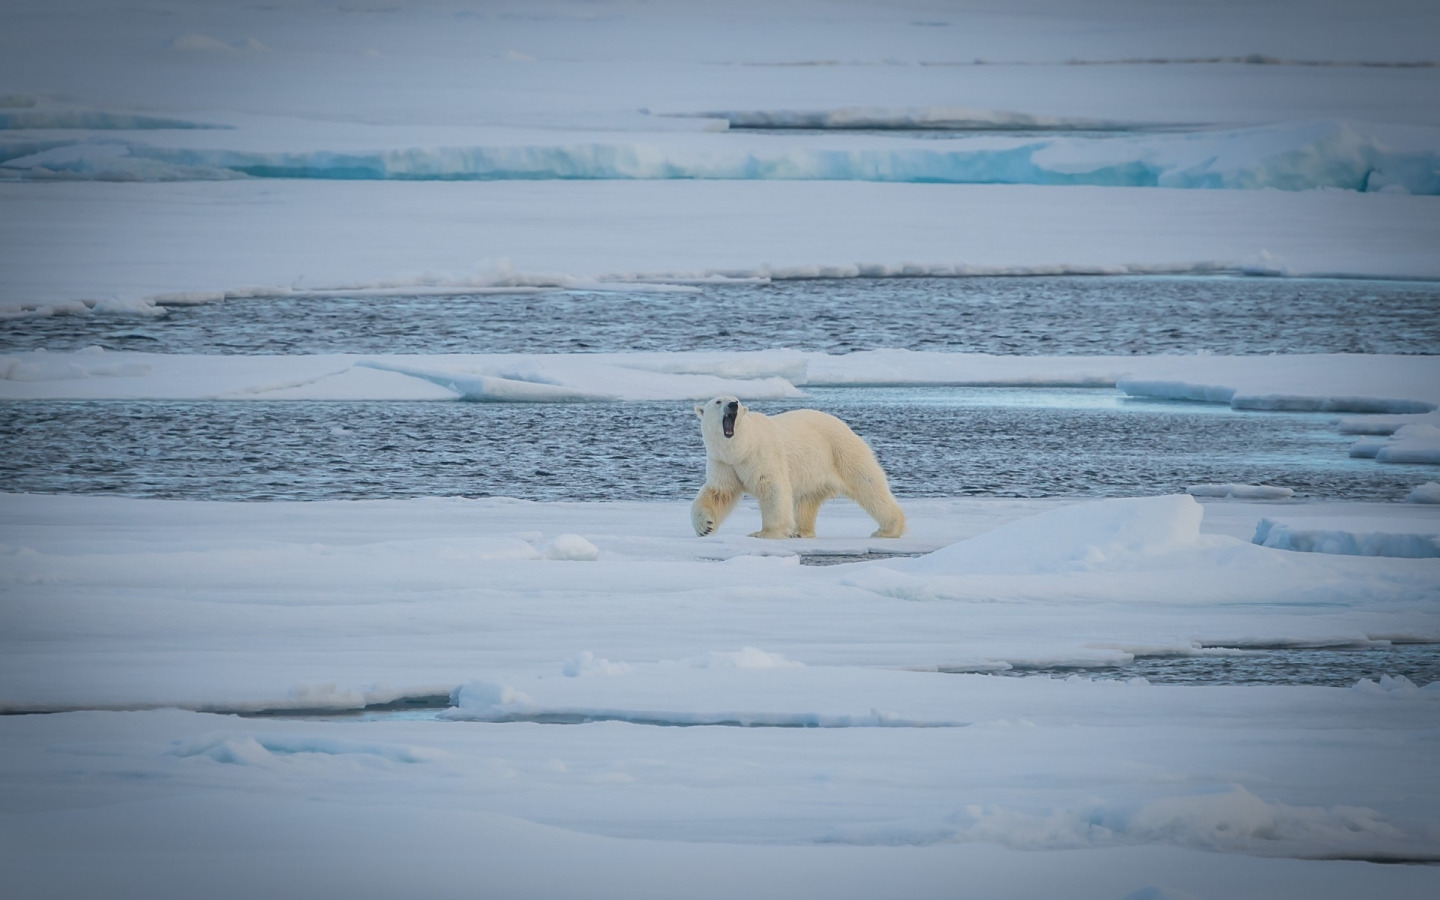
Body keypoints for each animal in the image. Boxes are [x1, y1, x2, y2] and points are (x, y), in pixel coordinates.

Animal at [691, 397, 904, 535]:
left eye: (737, 400)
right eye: (718, 401)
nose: (733, 405)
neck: (742, 448)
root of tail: (846, 427)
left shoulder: (761, 455)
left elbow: (773, 488)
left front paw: (766, 532)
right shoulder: (724, 462)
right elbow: (719, 492)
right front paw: (705, 526)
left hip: (841, 452)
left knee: (869, 486)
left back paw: (888, 529)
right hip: (814, 470)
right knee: (806, 500)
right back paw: (801, 531)